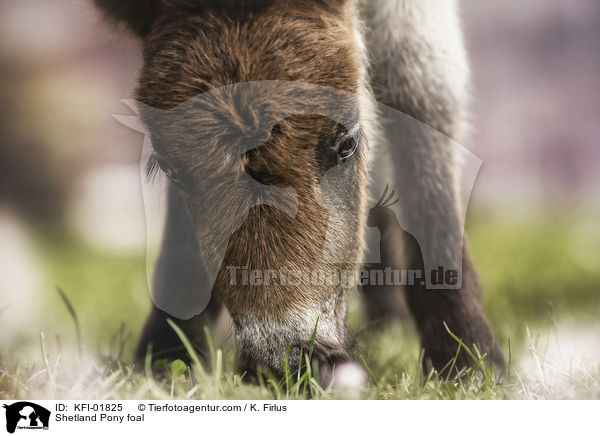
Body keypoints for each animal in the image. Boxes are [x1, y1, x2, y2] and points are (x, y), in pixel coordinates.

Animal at [92, 0, 506, 382]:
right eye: (169, 168)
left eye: (347, 145)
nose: (288, 364)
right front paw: (166, 355)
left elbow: (421, 90)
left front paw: (468, 357)